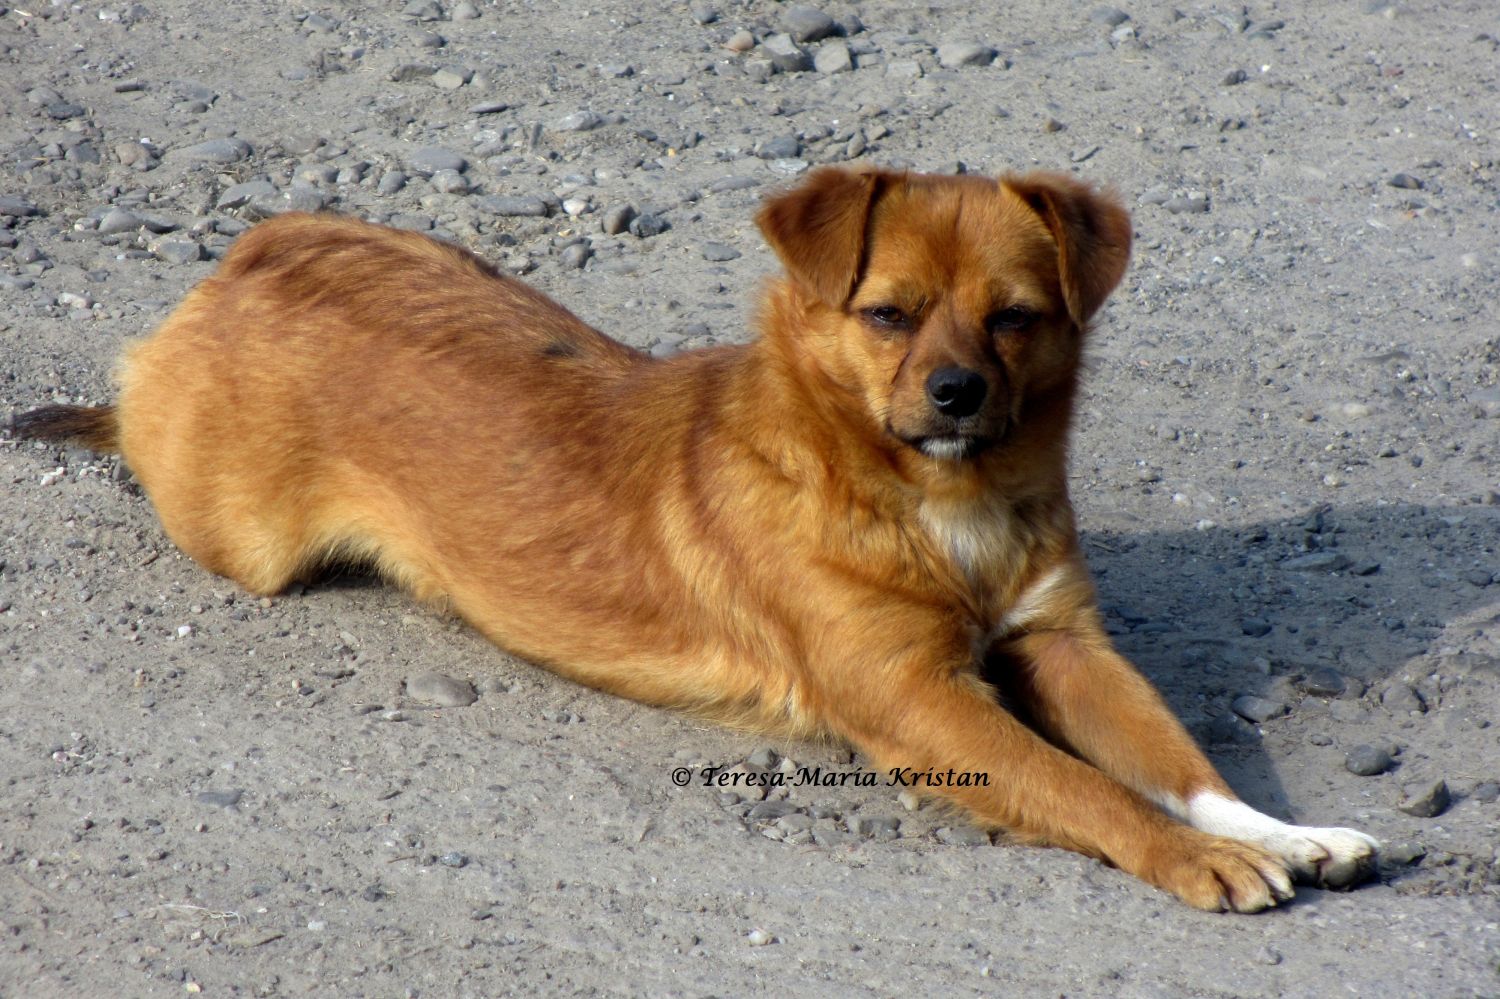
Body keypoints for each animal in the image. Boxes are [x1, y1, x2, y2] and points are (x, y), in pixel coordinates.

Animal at [11, 165, 1374, 912]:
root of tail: (248, 255)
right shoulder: (920, 702)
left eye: (1018, 318)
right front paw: (1194, 859)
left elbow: (1182, 760)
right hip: (235, 530)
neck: (938, 506)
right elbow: (1090, 787)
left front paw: (1282, 833)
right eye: (887, 316)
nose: (956, 395)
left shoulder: (1067, 647)